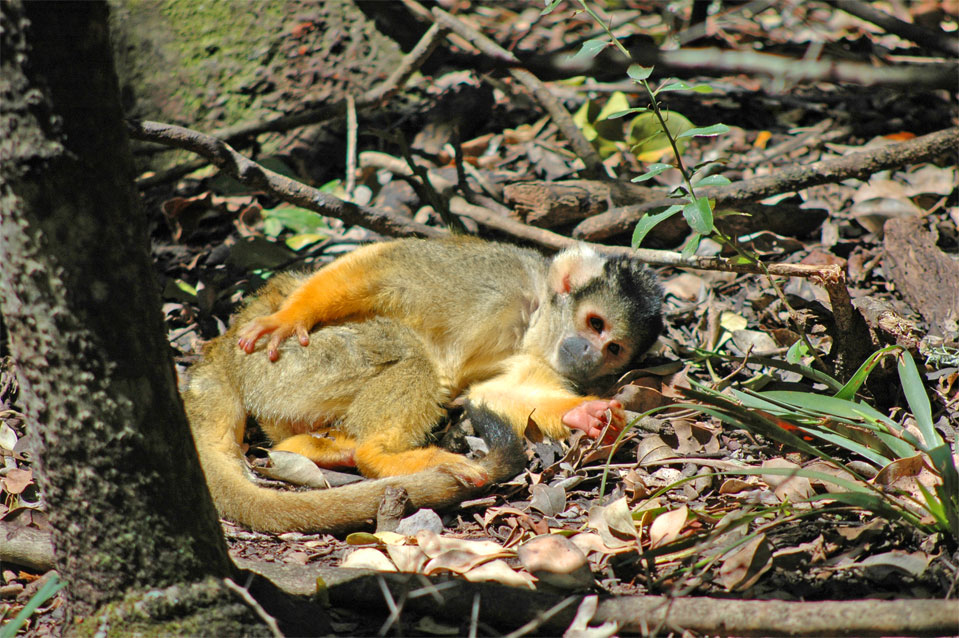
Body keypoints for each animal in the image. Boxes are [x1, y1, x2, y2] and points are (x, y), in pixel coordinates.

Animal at [190, 238, 664, 532]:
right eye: (595, 323)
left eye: (614, 347)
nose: (589, 355)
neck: (533, 320)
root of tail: (222, 351)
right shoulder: (497, 276)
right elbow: (388, 267)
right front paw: (288, 318)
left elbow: (489, 394)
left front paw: (586, 412)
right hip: (289, 364)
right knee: (410, 354)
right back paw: (376, 454)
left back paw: (313, 448)